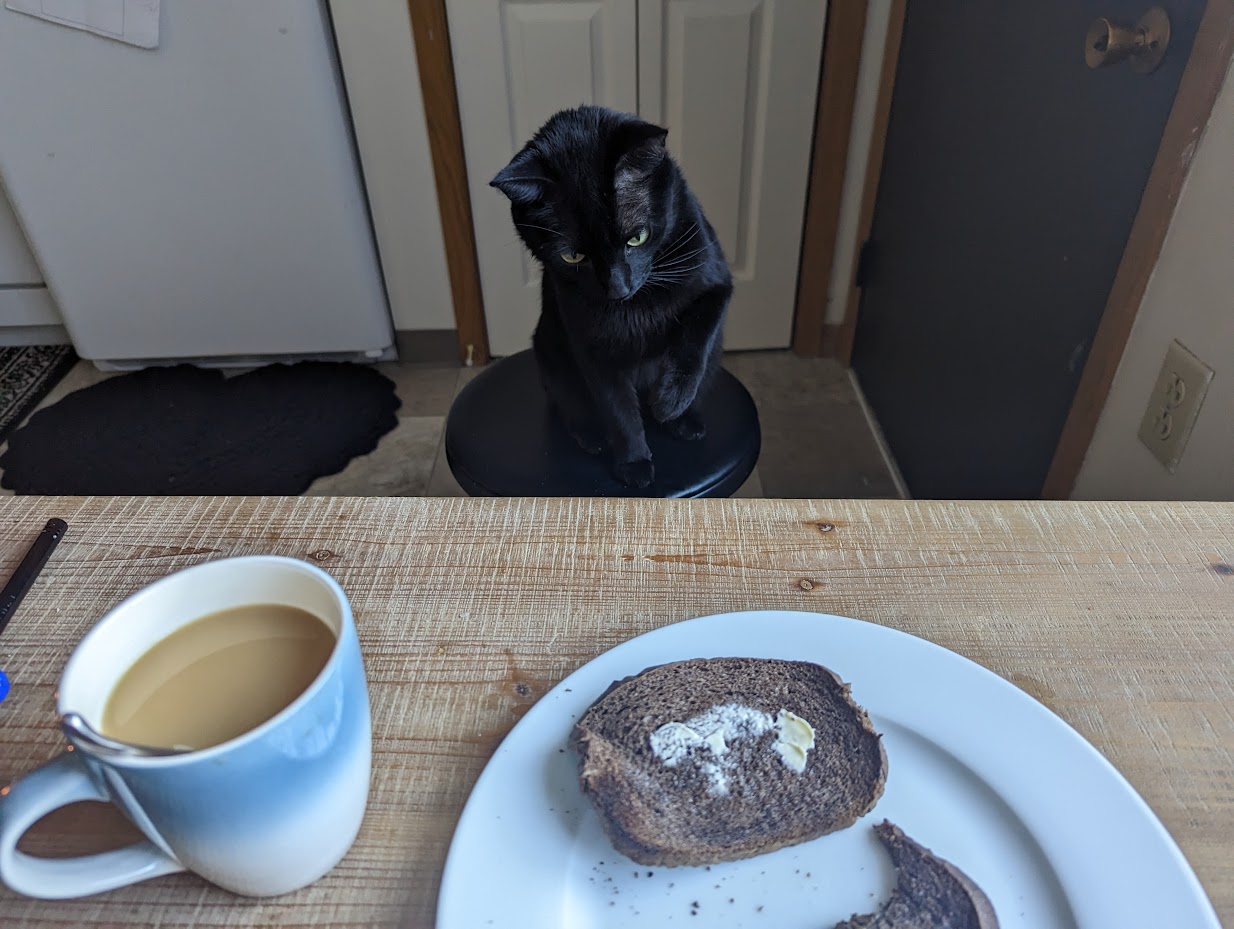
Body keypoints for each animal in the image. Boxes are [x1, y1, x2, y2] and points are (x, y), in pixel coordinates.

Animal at [491, 104, 725, 488]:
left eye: (637, 238)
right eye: (573, 257)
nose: (618, 289)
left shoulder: (717, 282)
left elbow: (696, 339)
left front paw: (671, 401)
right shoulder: (594, 346)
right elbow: (618, 410)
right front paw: (634, 463)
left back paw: (683, 421)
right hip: (552, 355)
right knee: (570, 405)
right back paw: (592, 436)